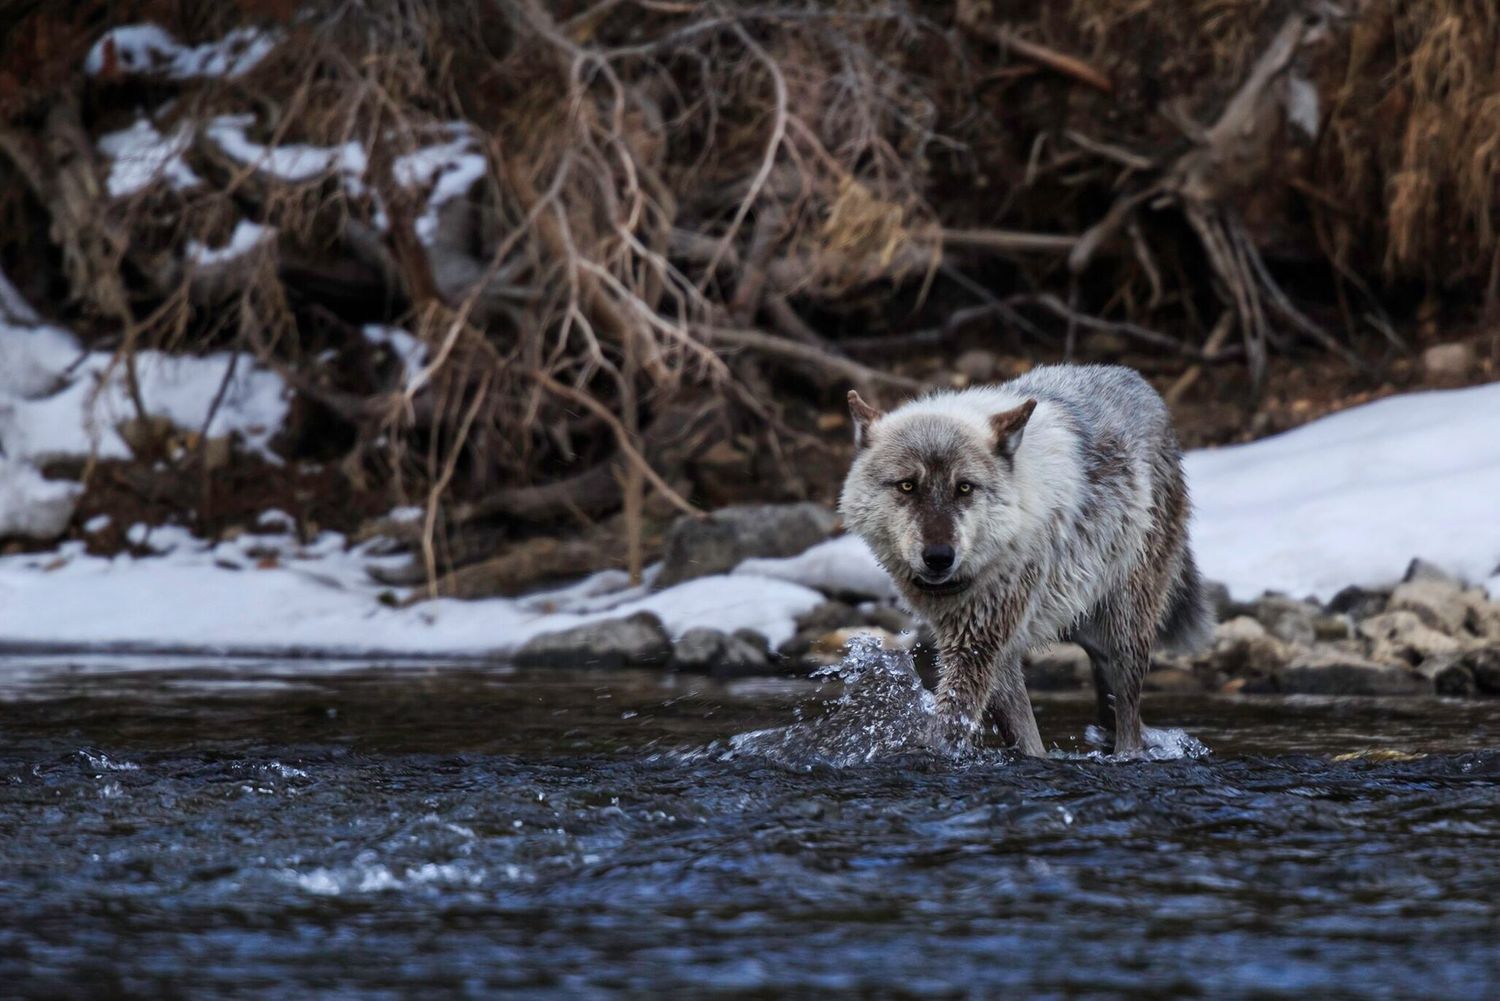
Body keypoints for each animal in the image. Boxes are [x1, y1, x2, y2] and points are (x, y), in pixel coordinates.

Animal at [840, 364, 1212, 756]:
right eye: (908, 485)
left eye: (965, 487)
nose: (939, 558)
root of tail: (1142, 385)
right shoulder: (989, 645)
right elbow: (1022, 735)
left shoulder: (979, 643)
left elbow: (952, 722)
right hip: (1082, 624)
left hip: (1125, 628)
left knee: (1129, 715)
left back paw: (1128, 753)